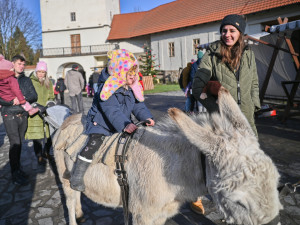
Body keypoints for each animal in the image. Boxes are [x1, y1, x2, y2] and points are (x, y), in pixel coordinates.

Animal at [51, 87, 282, 224]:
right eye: (238, 202)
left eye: (276, 184)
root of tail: (68, 119)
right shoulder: (143, 214)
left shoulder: (159, 214)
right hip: (63, 174)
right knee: (69, 199)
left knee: (77, 194)